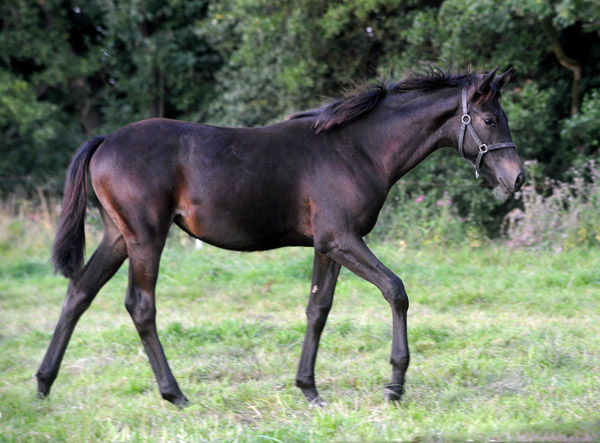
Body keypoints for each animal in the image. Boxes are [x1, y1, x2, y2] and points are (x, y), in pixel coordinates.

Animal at [36, 64, 524, 408]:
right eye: (488, 118)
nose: (518, 178)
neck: (357, 150)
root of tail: (103, 141)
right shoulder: (342, 240)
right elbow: (396, 290)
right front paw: (394, 384)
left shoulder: (327, 246)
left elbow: (318, 309)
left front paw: (309, 389)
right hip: (145, 238)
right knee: (140, 306)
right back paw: (174, 394)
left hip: (118, 237)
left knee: (79, 292)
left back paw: (43, 384)